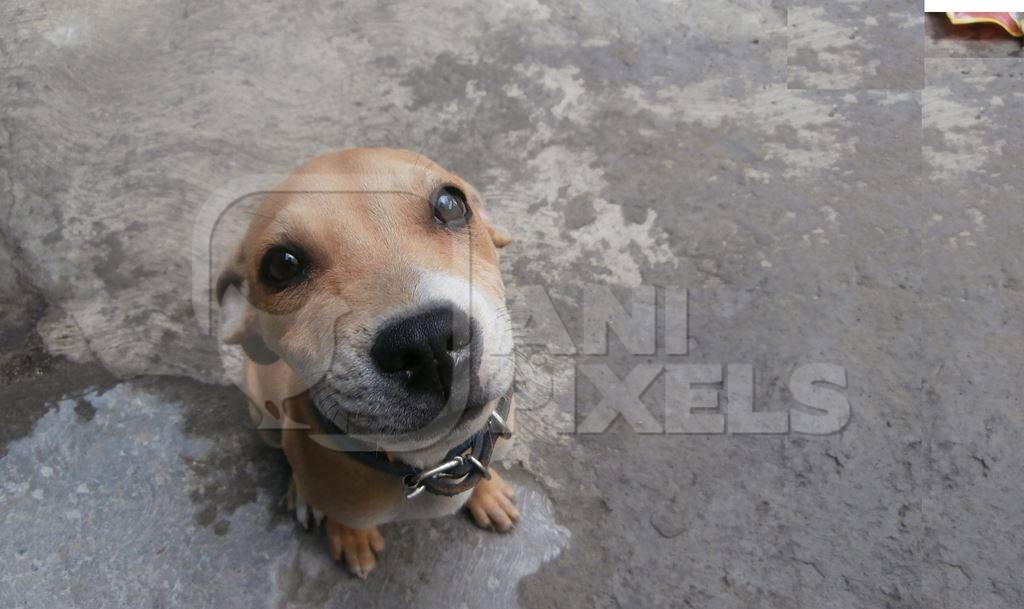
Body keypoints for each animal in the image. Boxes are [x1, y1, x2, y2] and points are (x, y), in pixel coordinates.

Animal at [217, 147, 520, 577]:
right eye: (282, 265)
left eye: (450, 203)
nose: (426, 341)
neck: (430, 464)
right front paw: (351, 537)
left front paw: (488, 492)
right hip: (264, 415)